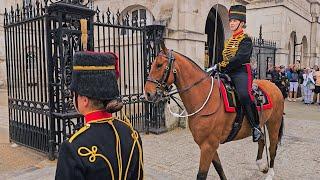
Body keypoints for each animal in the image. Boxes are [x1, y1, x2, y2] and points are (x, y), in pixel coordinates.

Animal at [144, 43, 284, 179]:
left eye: (159, 65)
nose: (147, 94)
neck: (205, 97)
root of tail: (274, 85)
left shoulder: (208, 146)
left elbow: (202, 174)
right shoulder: (208, 146)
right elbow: (219, 168)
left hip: (274, 124)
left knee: (272, 147)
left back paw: (270, 173)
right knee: (261, 140)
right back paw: (261, 165)